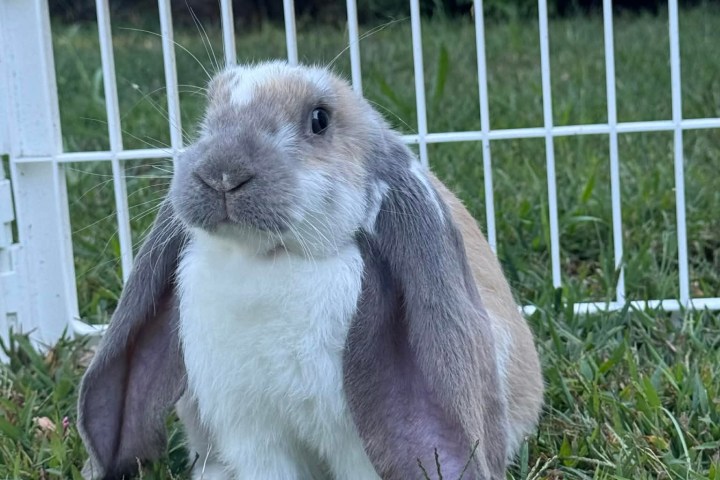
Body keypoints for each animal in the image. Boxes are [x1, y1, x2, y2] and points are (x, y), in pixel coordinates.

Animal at [77, 61, 543, 480]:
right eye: (209, 114)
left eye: (319, 119)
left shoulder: (354, 444)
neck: (269, 260)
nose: (222, 174)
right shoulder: (254, 436)